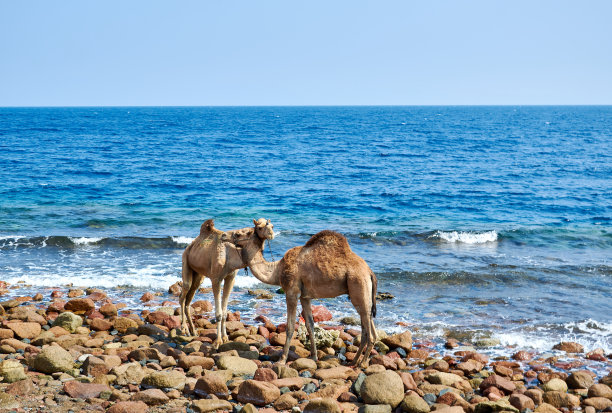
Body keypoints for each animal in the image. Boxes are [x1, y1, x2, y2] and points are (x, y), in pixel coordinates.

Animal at [233, 222, 378, 366]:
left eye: (246, 232)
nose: (234, 235)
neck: (277, 270)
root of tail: (370, 272)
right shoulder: (305, 297)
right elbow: (310, 325)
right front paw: (314, 357)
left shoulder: (291, 292)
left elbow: (290, 326)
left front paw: (282, 359)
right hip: (361, 292)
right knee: (366, 327)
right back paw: (353, 361)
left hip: (359, 284)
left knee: (369, 331)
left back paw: (362, 363)